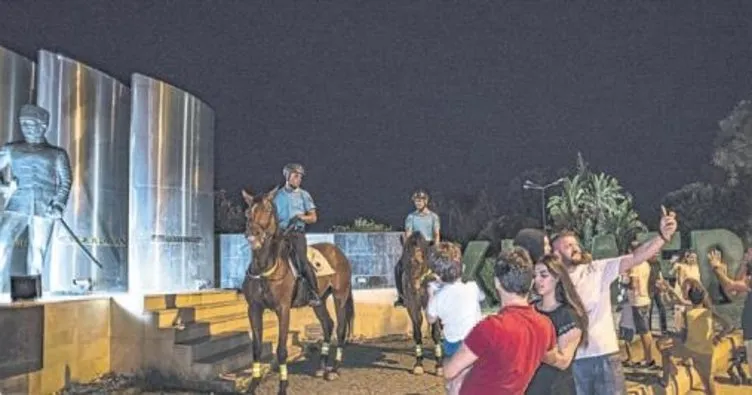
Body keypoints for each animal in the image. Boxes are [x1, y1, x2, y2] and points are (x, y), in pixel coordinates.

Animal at [242, 186, 356, 395]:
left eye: (268, 210)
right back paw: (321, 367)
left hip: (340, 296)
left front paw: (283, 386)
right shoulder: (253, 309)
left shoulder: (283, 309)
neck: (266, 267)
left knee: (341, 328)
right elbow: (256, 348)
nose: (253, 234)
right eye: (248, 212)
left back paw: (334, 370)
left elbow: (281, 350)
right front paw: (253, 385)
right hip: (319, 301)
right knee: (327, 325)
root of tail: (339, 253)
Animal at [396, 234, 444, 376]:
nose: (413, 286)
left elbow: (436, 333)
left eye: (420, 262)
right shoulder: (412, 305)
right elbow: (417, 332)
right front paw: (418, 364)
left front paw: (439, 366)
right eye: (404, 262)